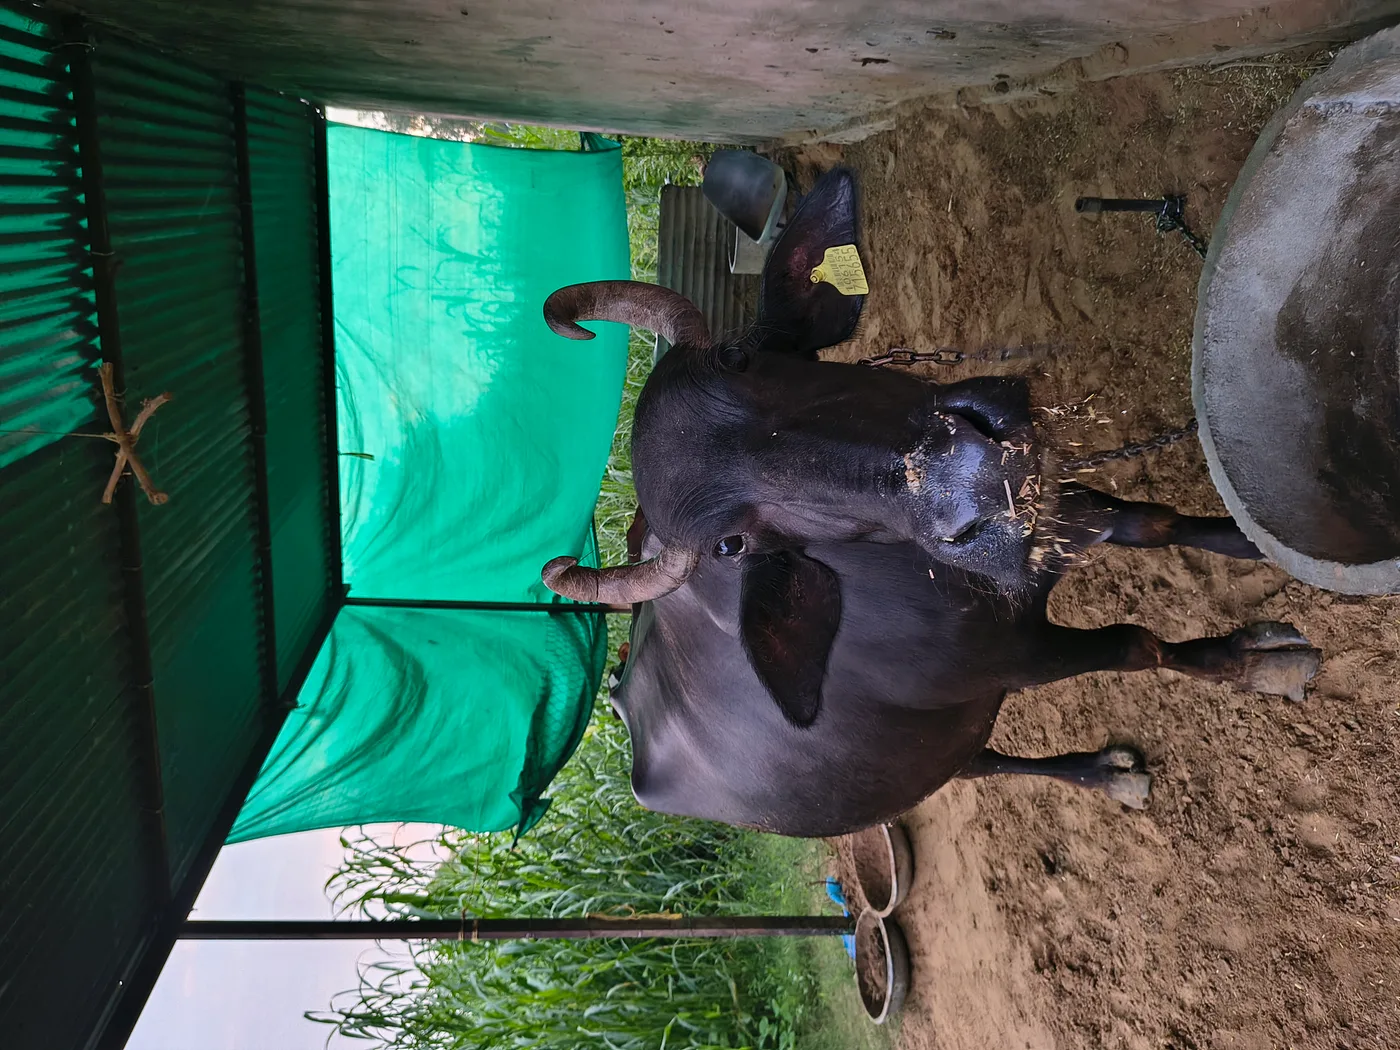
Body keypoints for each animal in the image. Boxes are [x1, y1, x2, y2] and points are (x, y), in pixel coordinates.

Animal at [539, 168, 1321, 837]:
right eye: (732, 545)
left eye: (742, 357)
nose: (965, 475)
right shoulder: (1019, 659)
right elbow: (1139, 645)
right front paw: (1259, 664)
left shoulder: (1054, 507)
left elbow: (1155, 524)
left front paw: (1249, 542)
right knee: (991, 764)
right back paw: (1105, 775)